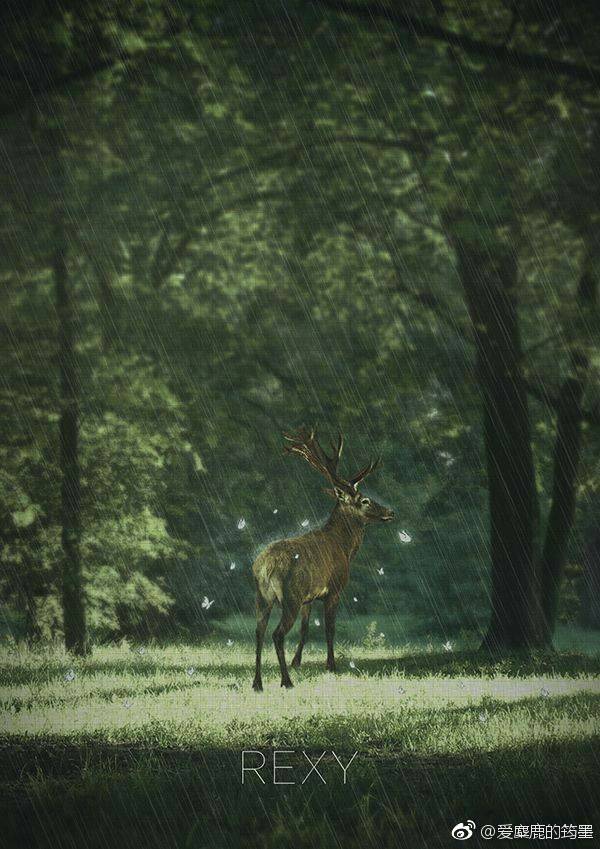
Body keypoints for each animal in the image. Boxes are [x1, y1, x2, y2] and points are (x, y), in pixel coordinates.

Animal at [252, 428, 396, 692]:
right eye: (364, 500)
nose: (390, 512)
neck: (344, 547)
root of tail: (265, 567)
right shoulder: (335, 588)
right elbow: (330, 628)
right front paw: (331, 665)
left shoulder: (309, 598)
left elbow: (306, 628)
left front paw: (297, 661)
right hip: (290, 596)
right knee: (277, 634)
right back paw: (286, 681)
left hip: (262, 596)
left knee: (258, 631)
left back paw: (257, 683)